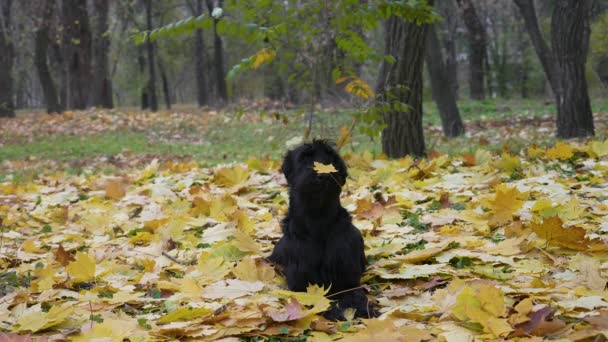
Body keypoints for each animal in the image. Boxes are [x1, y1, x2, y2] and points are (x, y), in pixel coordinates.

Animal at [270, 140, 376, 320]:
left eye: (331, 158)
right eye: (304, 157)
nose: (324, 175)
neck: (317, 219)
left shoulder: (347, 277)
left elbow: (356, 294)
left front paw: (364, 308)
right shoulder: (302, 284)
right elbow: (318, 299)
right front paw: (334, 310)